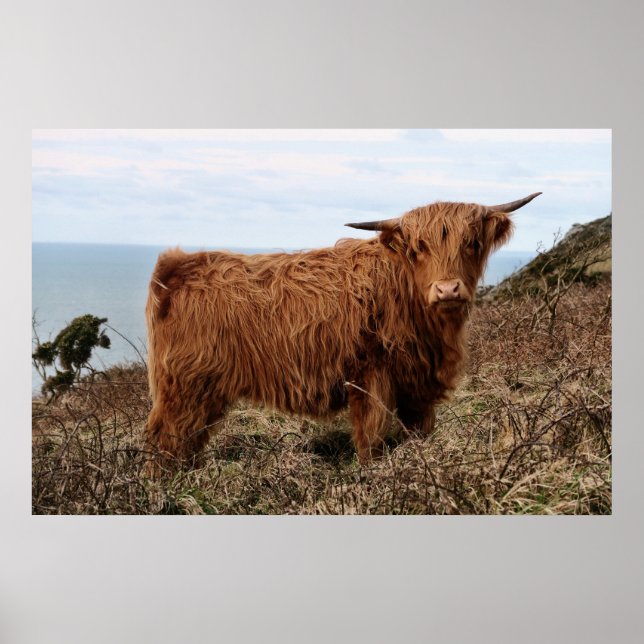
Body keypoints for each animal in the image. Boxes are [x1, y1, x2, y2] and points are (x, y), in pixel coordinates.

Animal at [144, 192, 541, 470]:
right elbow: (372, 436)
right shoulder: (371, 376)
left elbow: (418, 431)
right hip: (186, 386)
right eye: (419, 248)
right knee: (167, 439)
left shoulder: (418, 384)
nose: (447, 290)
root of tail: (179, 265)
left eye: (472, 243)